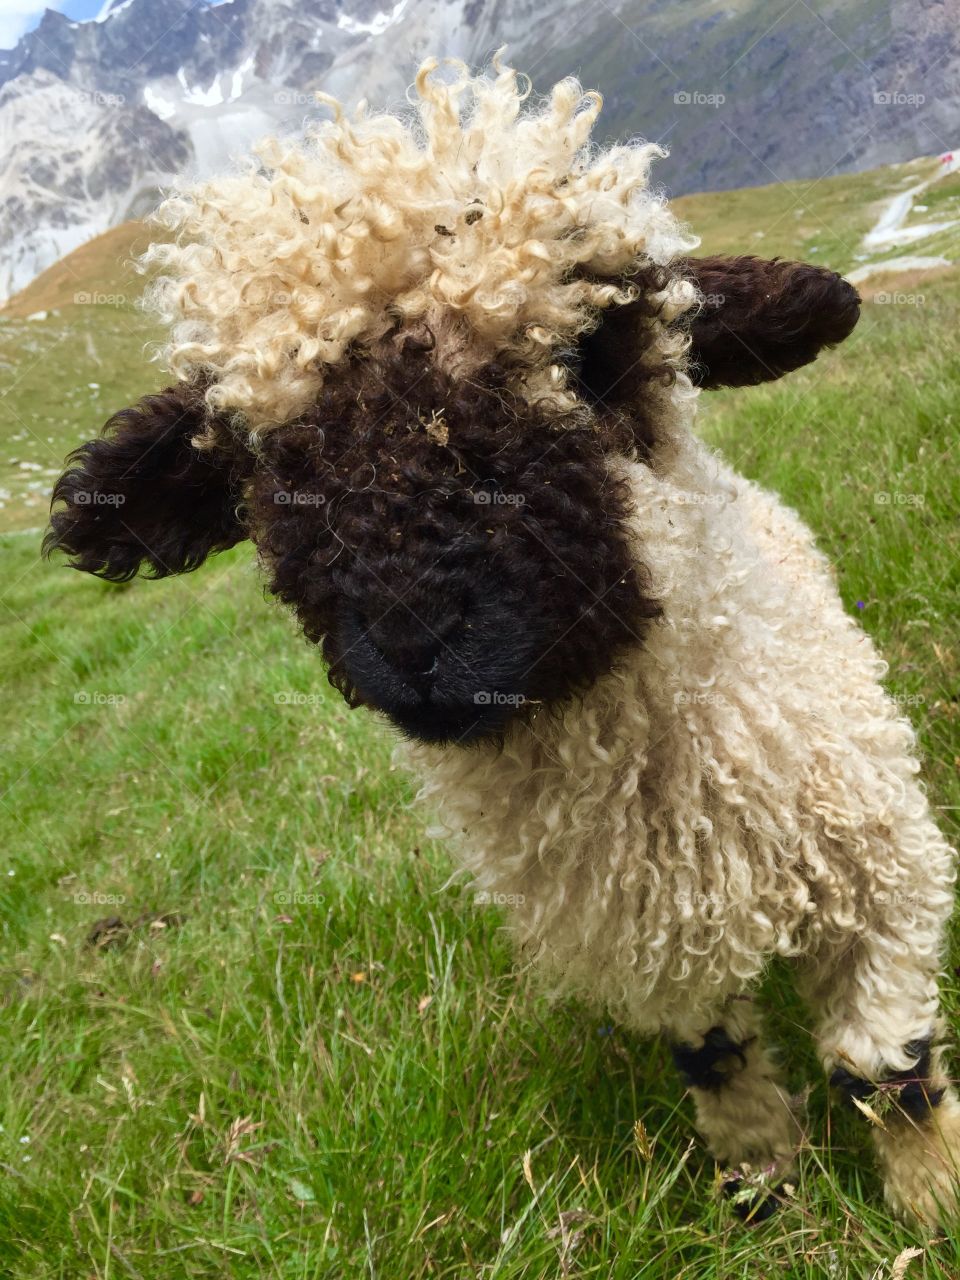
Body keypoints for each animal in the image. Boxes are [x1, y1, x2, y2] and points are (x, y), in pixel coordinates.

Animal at [47, 60, 960, 1228]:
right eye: (258, 454)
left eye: (591, 352)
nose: (417, 636)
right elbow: (722, 1067)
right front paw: (764, 1192)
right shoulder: (655, 950)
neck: (674, 812)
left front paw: (930, 1208)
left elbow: (884, 1067)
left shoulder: (886, 873)